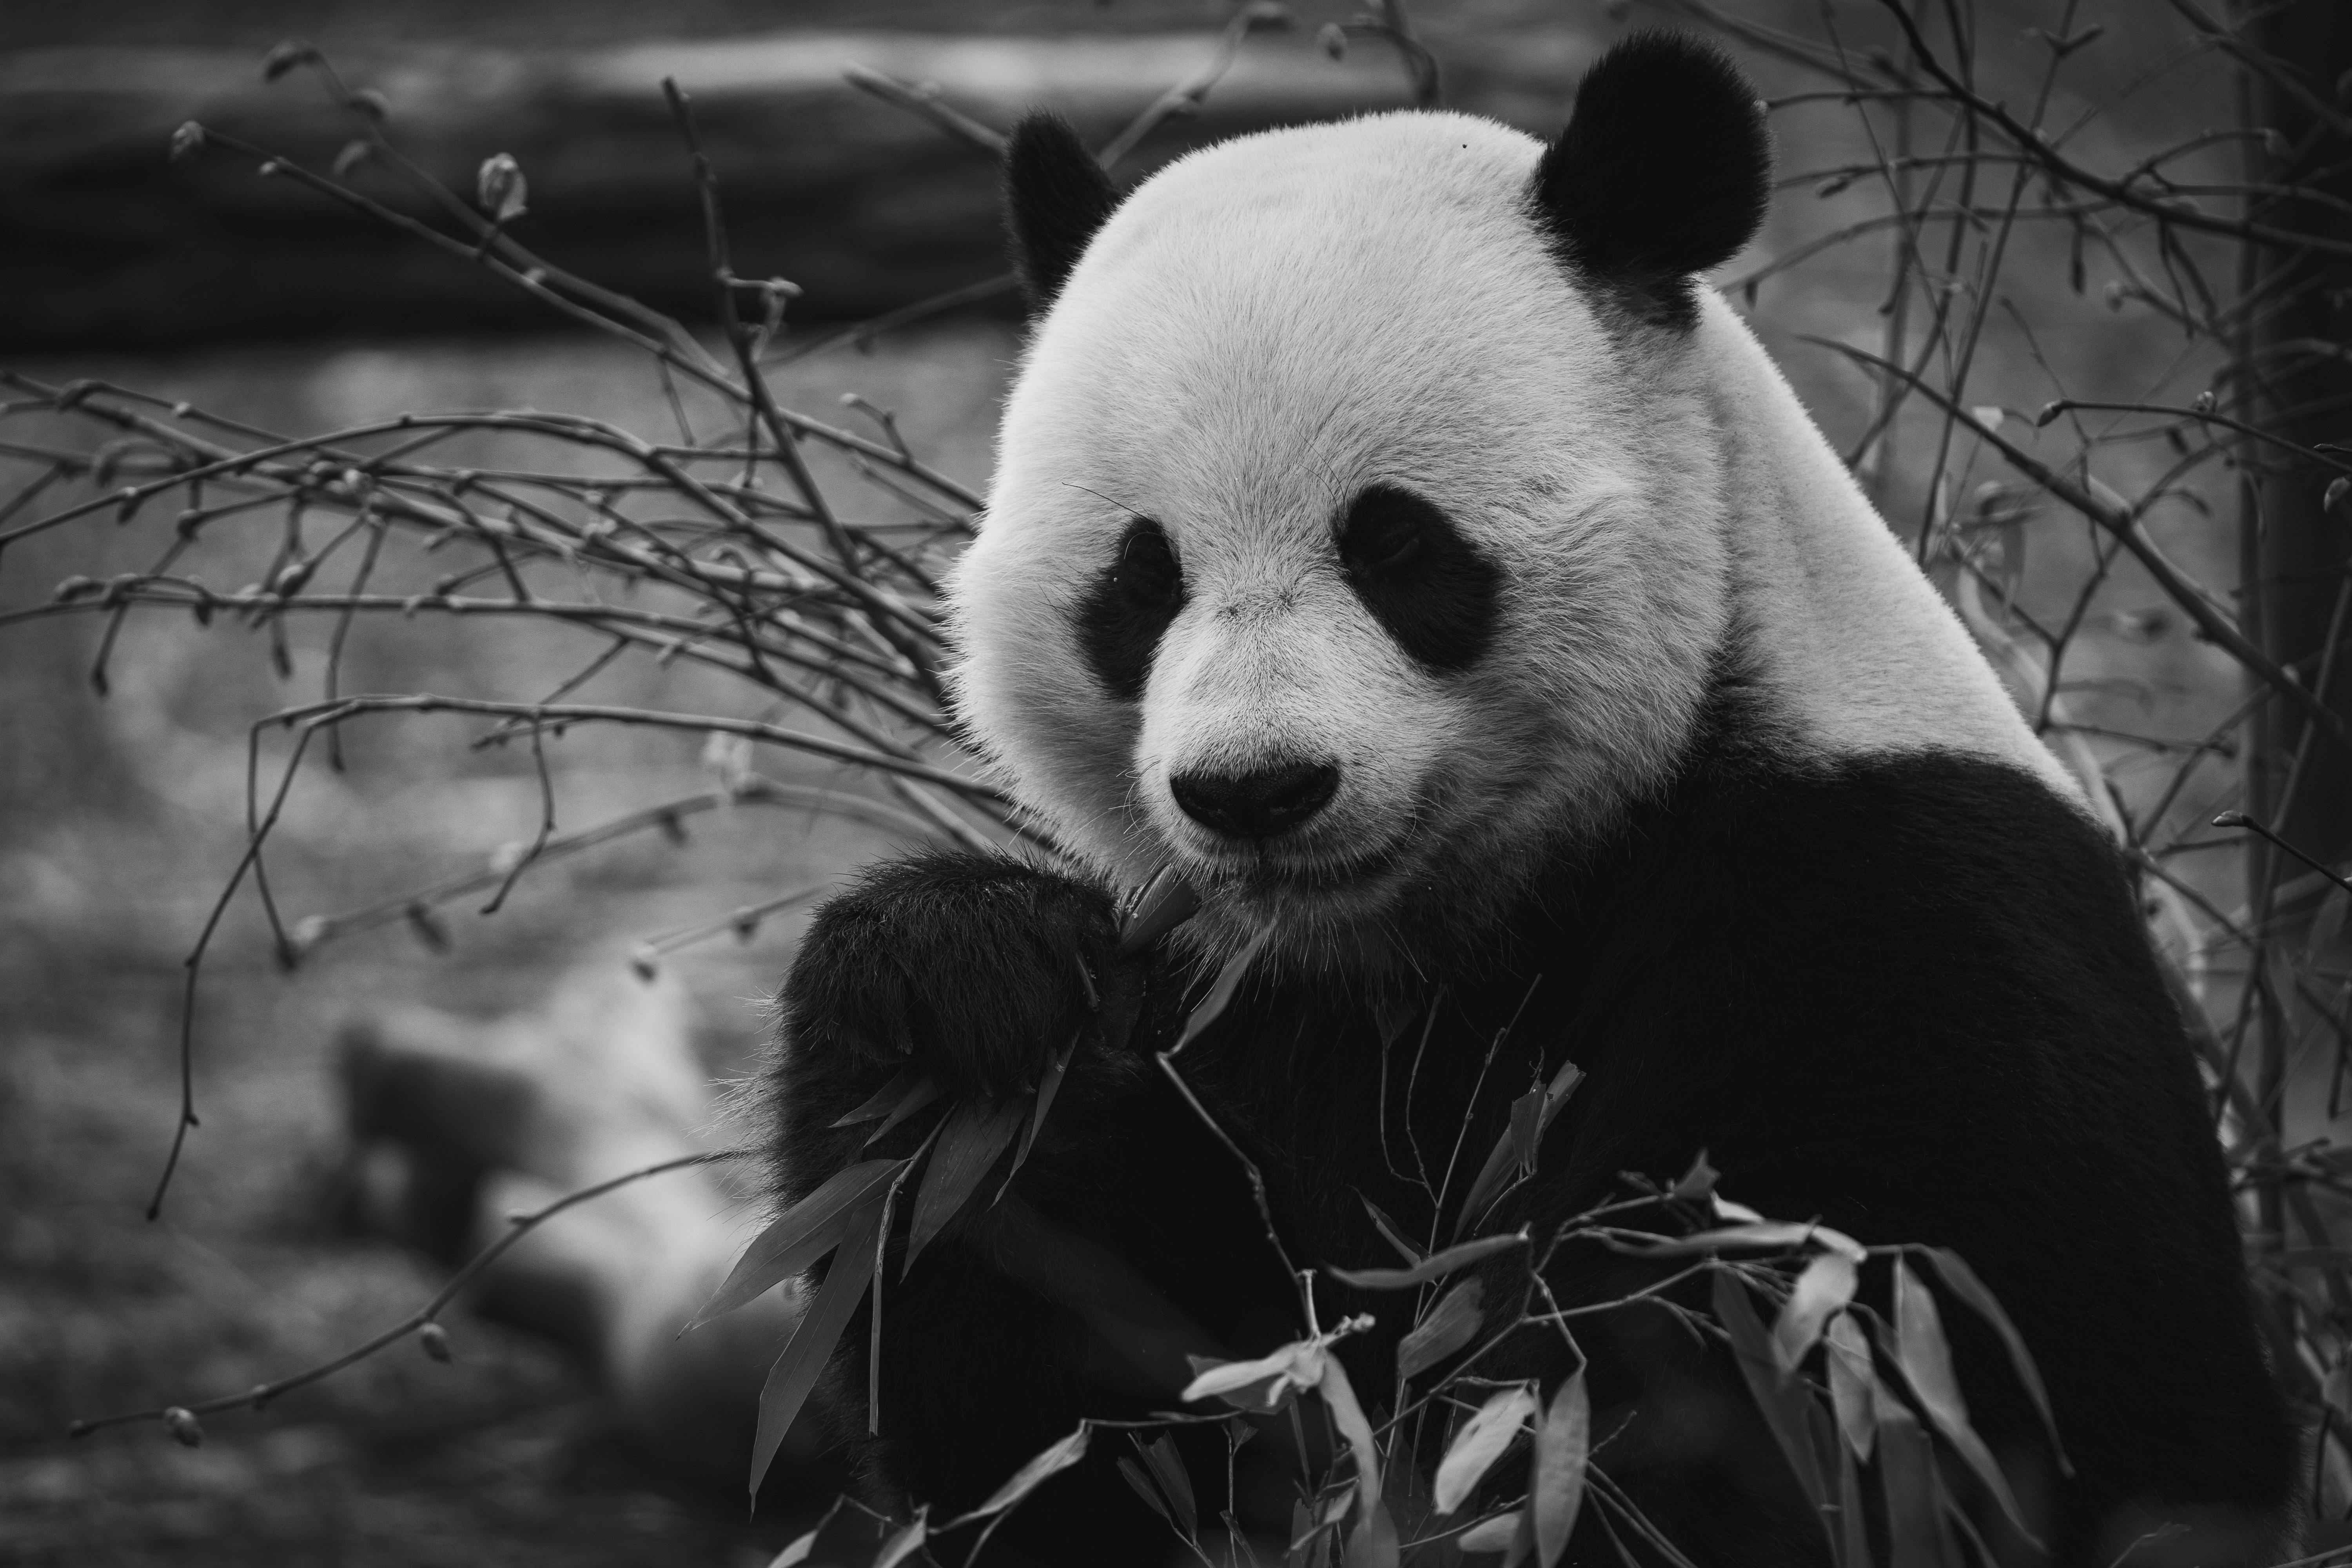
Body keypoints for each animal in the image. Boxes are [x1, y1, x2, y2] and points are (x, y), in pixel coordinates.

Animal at [769, 31, 2293, 1568]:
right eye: (1139, 582)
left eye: (1397, 547)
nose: (1256, 791)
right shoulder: (1245, 1016)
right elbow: (1092, 1425)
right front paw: (959, 981)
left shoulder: (1898, 921)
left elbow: (1838, 1401)